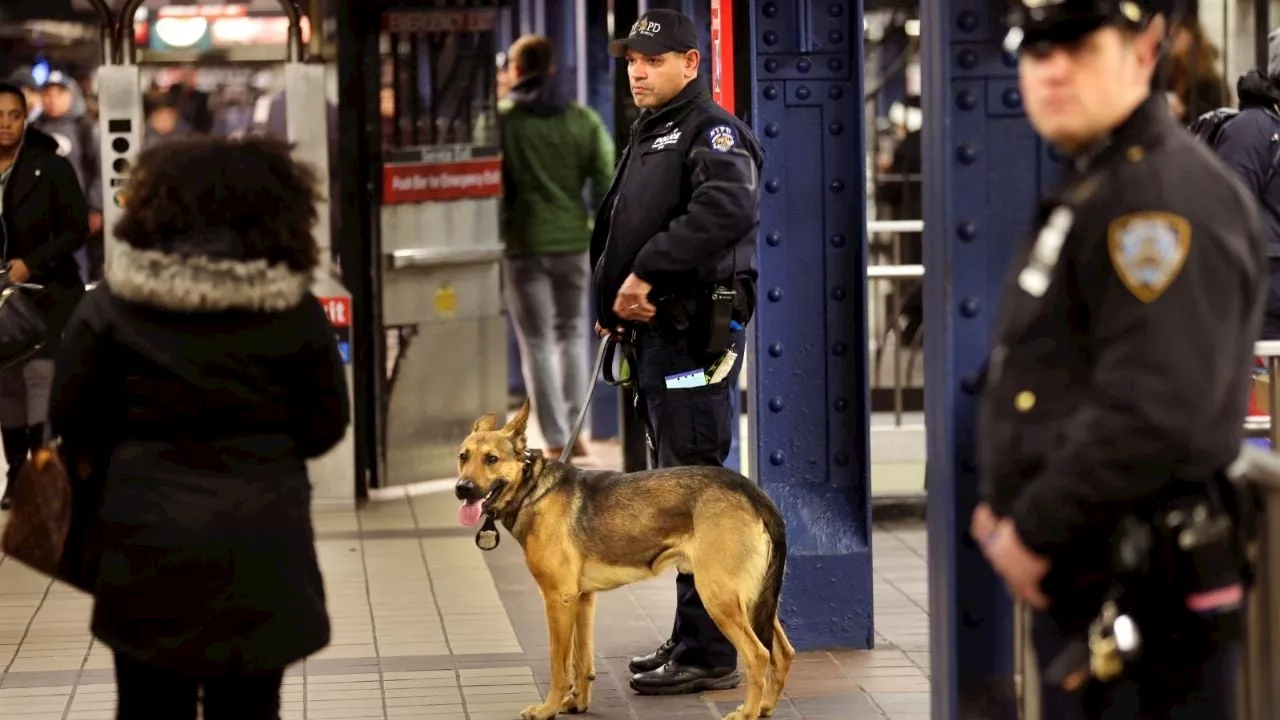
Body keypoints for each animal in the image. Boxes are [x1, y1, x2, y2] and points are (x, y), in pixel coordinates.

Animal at [455, 397, 793, 717]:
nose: (461, 489)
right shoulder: (581, 599)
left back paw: (747, 712)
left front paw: (548, 709)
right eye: (463, 457)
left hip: (718, 596)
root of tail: (753, 492)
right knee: (783, 652)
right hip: (753, 599)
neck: (532, 487)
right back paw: (765, 707)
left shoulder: (558, 599)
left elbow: (558, 664)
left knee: (759, 655)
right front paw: (577, 703)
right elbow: (581, 661)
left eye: (491, 459)